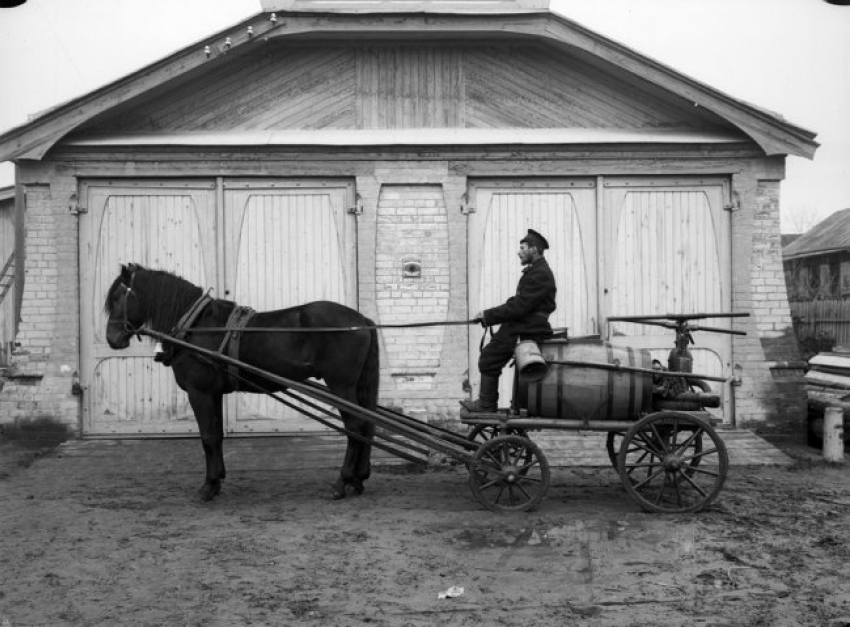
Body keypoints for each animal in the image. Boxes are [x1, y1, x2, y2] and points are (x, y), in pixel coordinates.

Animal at [102, 262, 378, 502]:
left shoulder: (199, 392)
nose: (111, 339)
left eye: (116, 298)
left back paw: (341, 482)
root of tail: (361, 320)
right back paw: (357, 479)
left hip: (341, 386)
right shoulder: (213, 393)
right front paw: (216, 480)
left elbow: (208, 437)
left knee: (356, 427)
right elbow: (217, 435)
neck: (198, 327)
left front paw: (208, 486)